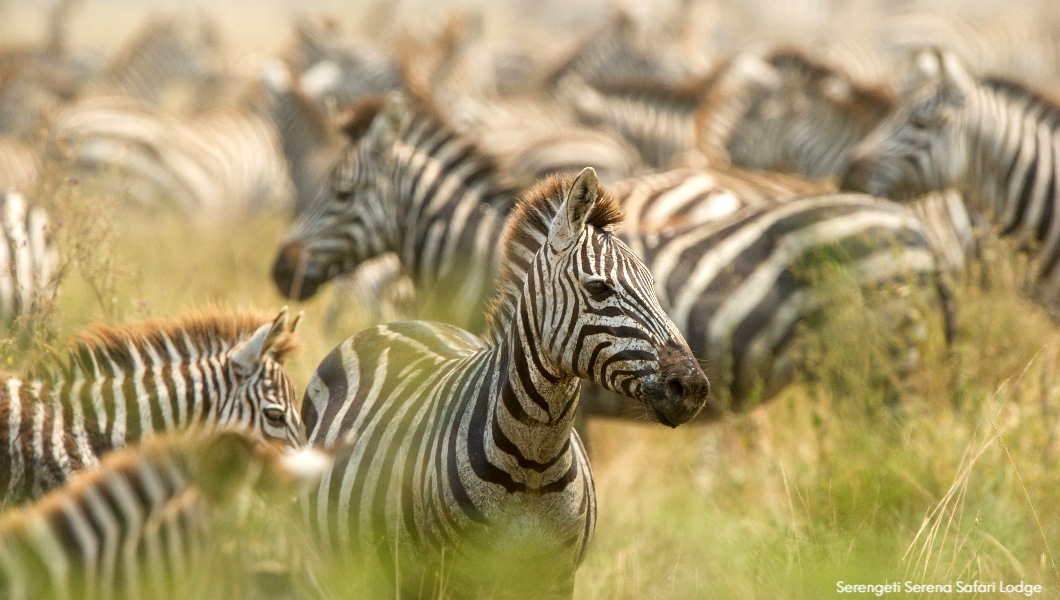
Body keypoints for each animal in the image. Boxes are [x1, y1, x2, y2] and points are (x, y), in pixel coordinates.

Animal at [301, 169, 712, 600]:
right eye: (599, 288)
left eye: (653, 285)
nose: (693, 387)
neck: (535, 462)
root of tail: (400, 322)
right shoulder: (451, 577)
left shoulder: (557, 578)